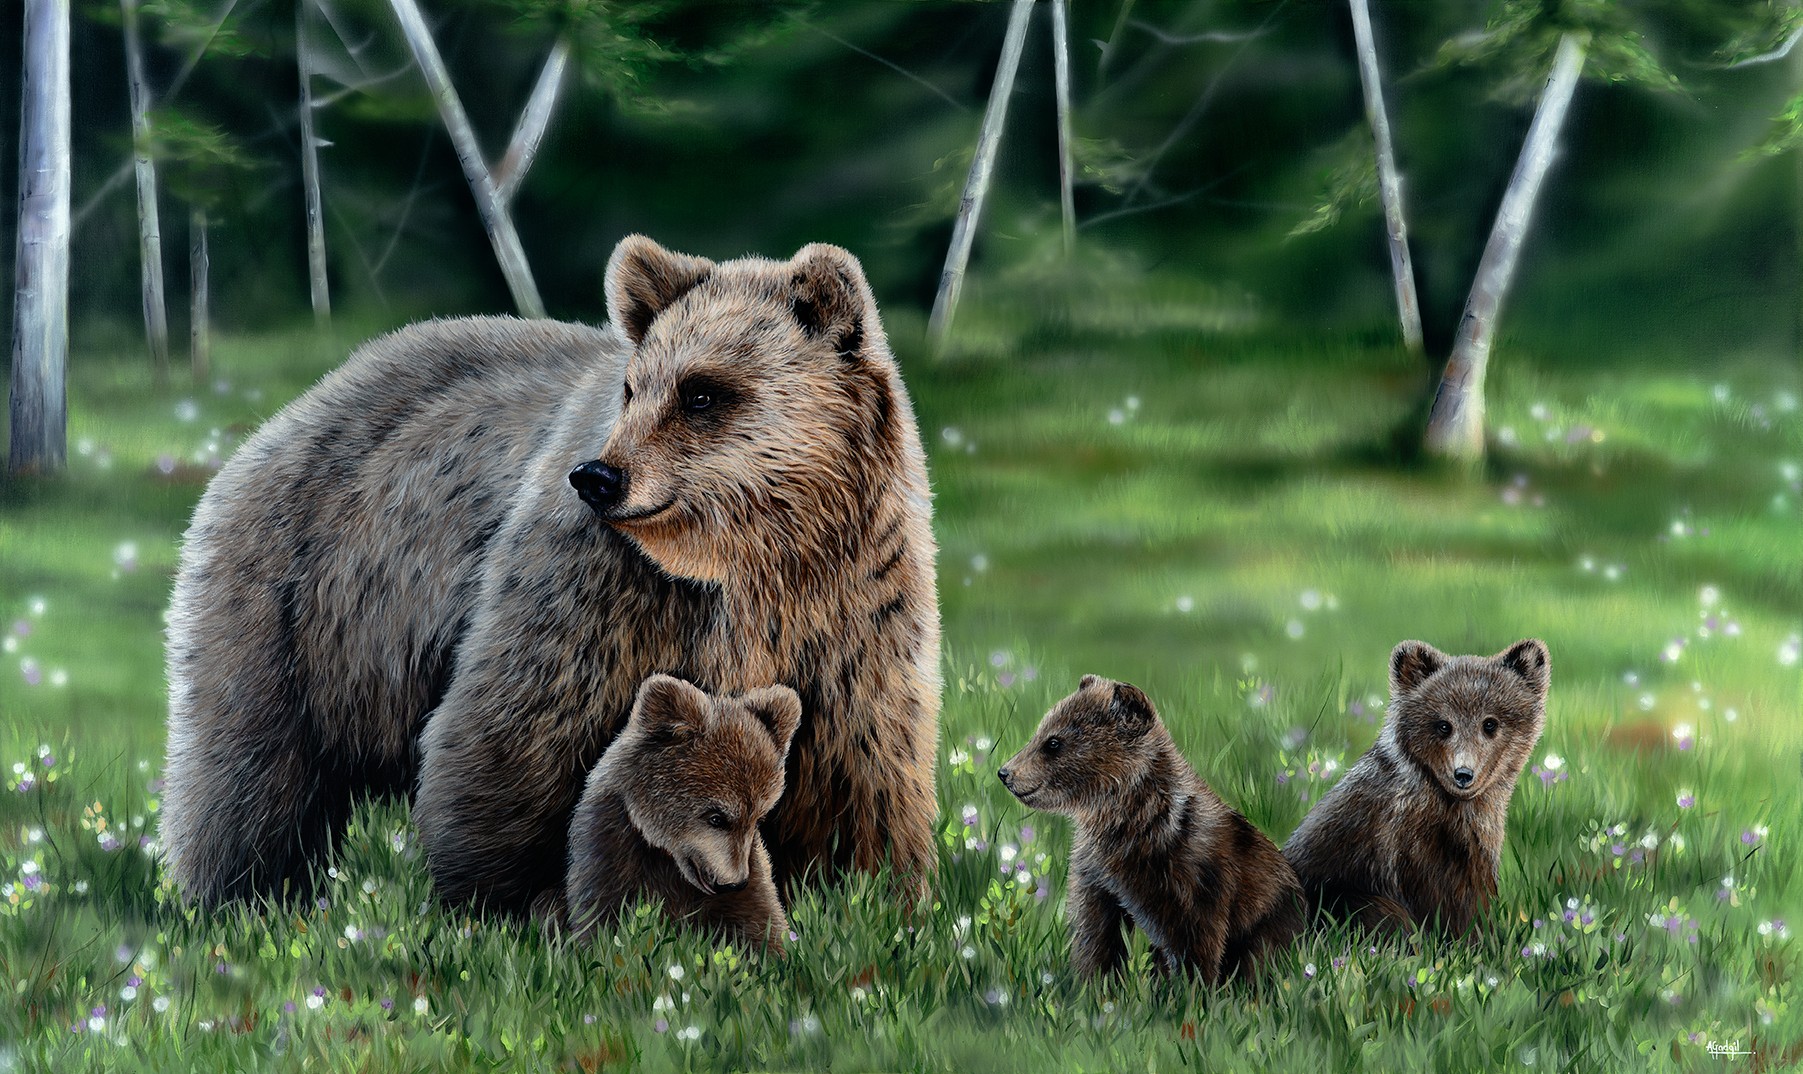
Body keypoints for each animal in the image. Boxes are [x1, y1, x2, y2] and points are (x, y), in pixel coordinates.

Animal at [159, 235, 942, 914]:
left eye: (702, 393)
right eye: (632, 387)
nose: (598, 477)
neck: (754, 556)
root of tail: (308, 400)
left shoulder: (851, 609)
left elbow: (862, 759)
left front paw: (871, 895)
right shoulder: (604, 589)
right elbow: (516, 726)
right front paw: (511, 903)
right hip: (305, 598)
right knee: (249, 769)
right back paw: (239, 896)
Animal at [565, 675, 797, 953]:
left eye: (758, 818)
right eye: (716, 817)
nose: (735, 882)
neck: (665, 859)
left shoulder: (750, 871)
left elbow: (761, 923)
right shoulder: (610, 851)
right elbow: (600, 919)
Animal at [998, 675, 1305, 984]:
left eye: (1053, 743)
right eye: (1040, 731)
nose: (1005, 772)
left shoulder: (1196, 879)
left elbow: (1197, 944)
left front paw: (1191, 991)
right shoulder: (1098, 877)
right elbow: (1096, 936)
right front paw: (1092, 985)